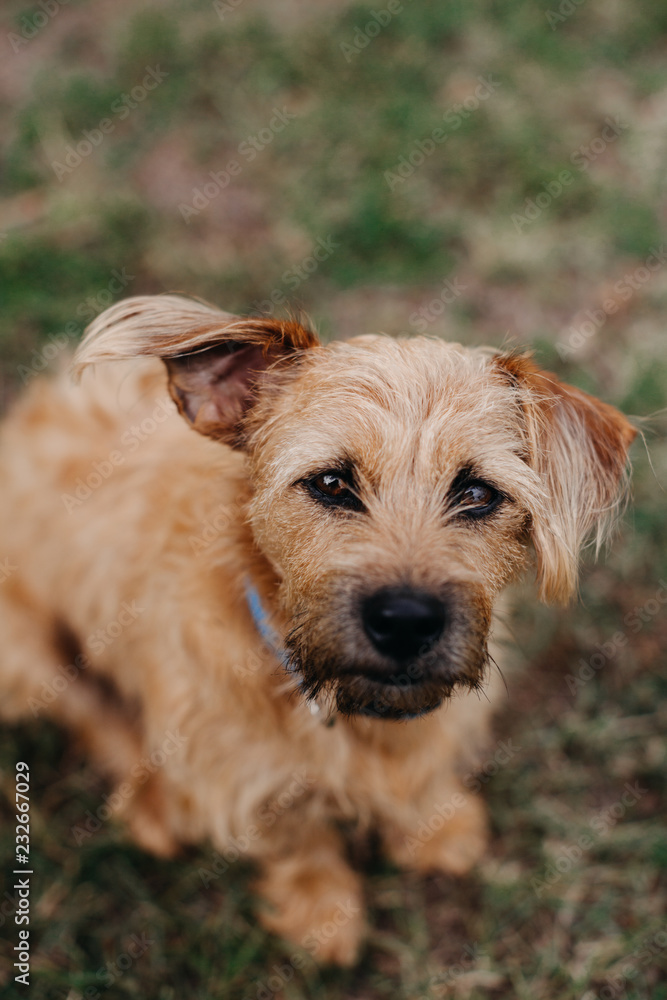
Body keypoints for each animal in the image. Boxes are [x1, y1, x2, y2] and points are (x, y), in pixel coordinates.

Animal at [0, 294, 636, 960]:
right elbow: (294, 835)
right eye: (331, 483)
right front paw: (321, 912)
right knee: (94, 716)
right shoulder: (240, 768)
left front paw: (432, 827)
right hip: (25, 652)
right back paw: (156, 801)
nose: (406, 622)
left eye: (478, 493)